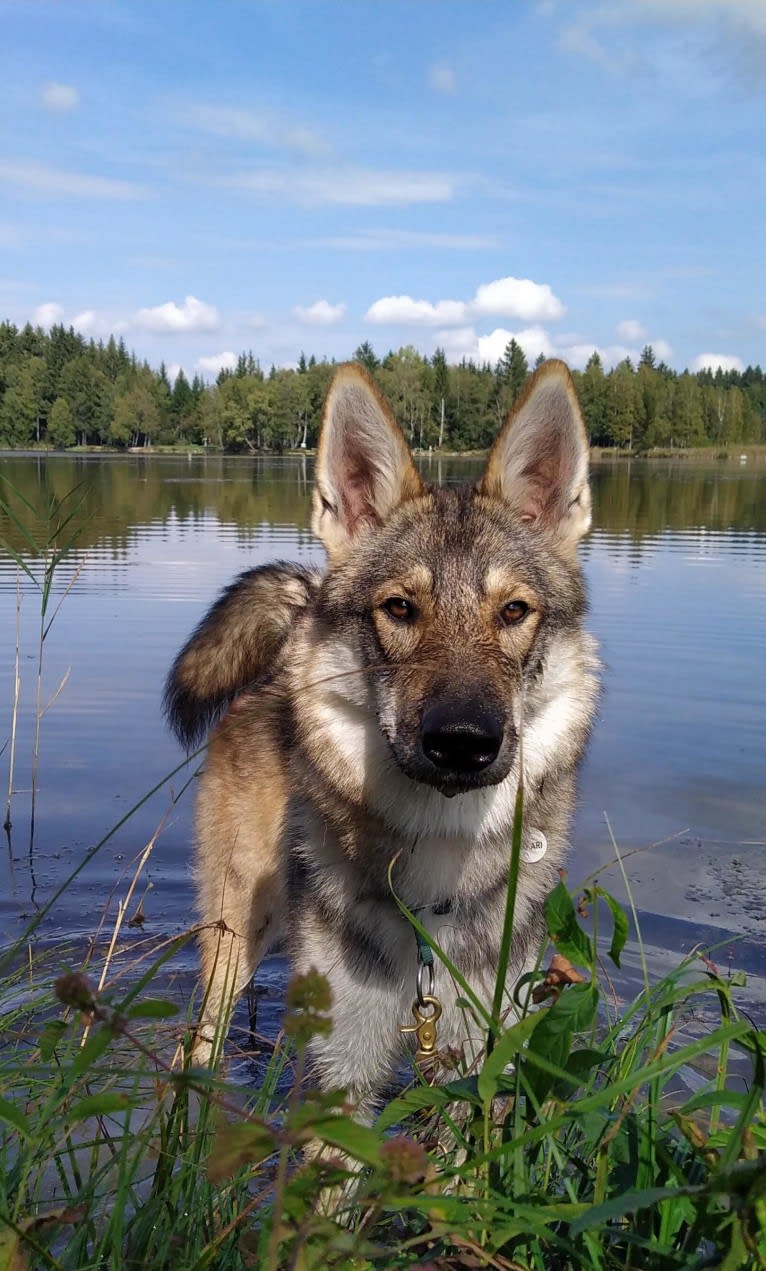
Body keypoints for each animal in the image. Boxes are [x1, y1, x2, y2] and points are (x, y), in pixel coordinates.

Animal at [166, 358, 599, 1113]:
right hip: (235, 941)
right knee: (201, 1044)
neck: (433, 889)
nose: (462, 740)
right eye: (400, 608)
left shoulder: (474, 1068)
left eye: (514, 611)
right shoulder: (339, 1074)